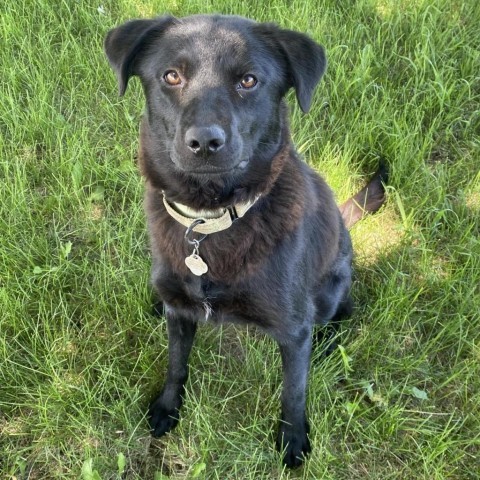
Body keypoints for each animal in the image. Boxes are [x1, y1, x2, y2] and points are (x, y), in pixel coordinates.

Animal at [105, 14, 386, 464]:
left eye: (249, 80)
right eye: (171, 75)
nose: (204, 142)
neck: (208, 223)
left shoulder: (294, 331)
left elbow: (294, 390)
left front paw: (293, 440)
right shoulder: (181, 314)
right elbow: (176, 364)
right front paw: (168, 408)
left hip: (332, 287)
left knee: (343, 309)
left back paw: (329, 341)